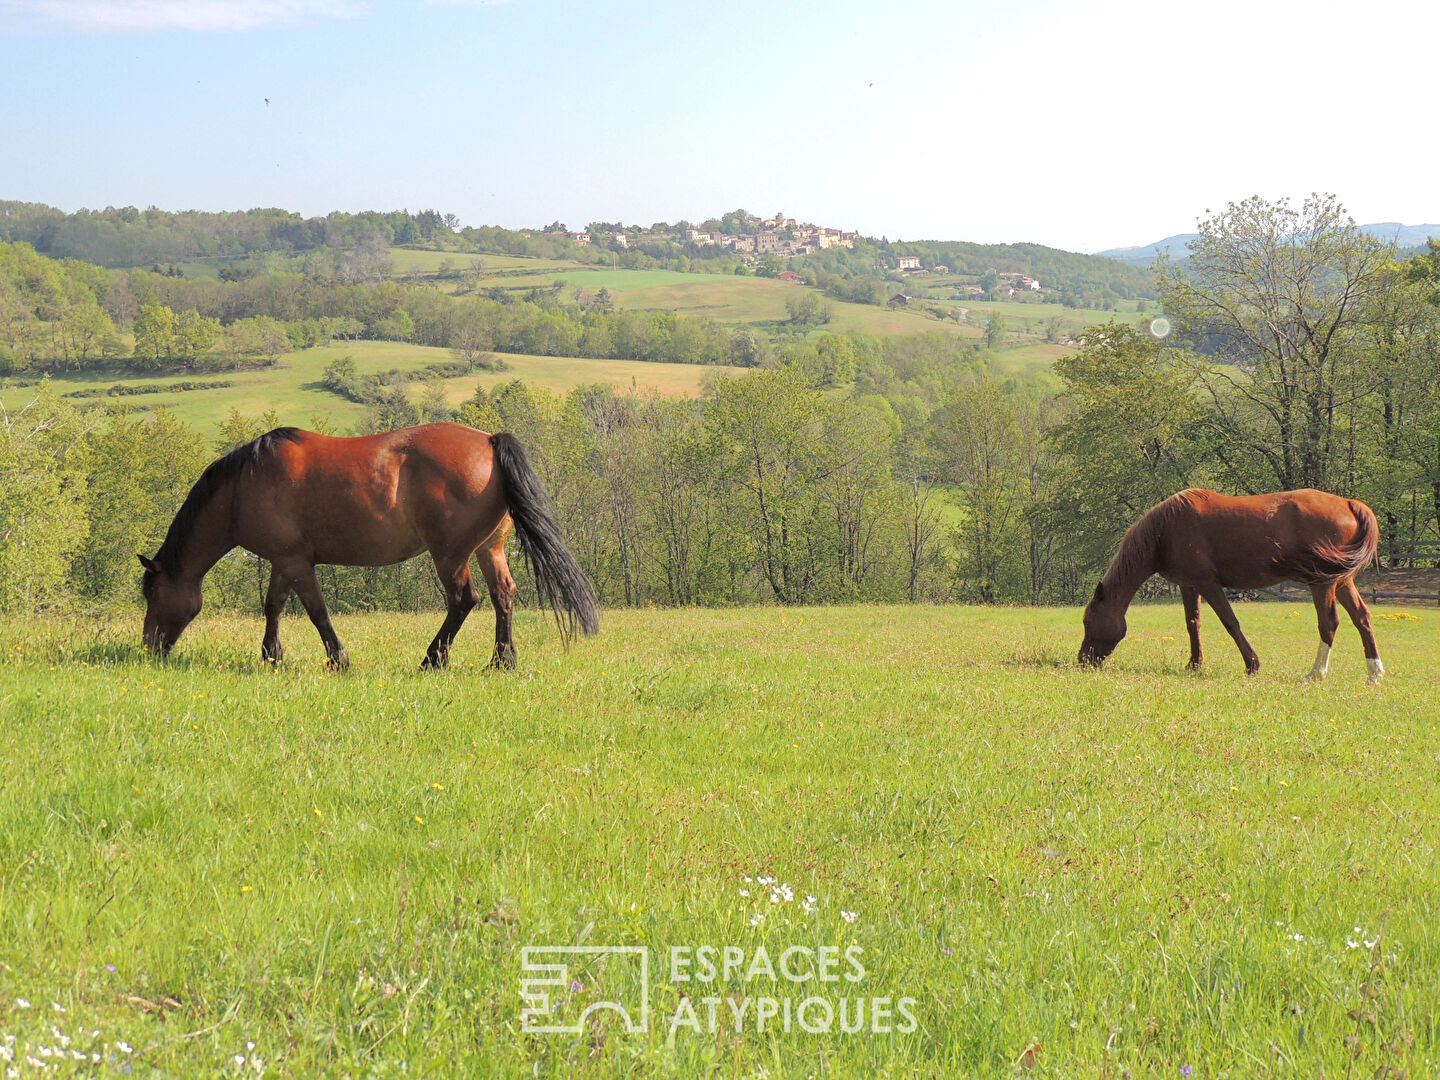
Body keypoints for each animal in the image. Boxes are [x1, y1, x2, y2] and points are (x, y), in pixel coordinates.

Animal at [137, 423, 599, 668]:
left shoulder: (296, 563)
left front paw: (337, 659)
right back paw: (502, 661)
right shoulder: (284, 561)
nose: (149, 647)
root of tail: (488, 440)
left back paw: (433, 659)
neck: (244, 484)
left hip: (450, 555)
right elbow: (274, 606)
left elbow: (316, 611)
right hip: (490, 549)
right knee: (504, 595)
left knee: (463, 600)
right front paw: (272, 656)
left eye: (152, 593)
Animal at [1082, 489, 1382, 685]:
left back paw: (1315, 674)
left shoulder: (1208, 584)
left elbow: (1230, 622)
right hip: (1343, 582)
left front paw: (1252, 665)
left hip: (1323, 583)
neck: (1165, 530)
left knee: (1329, 624)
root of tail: (1349, 503)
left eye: (1087, 621)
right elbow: (1193, 623)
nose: (1083, 660)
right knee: (1362, 619)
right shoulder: (1189, 585)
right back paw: (1374, 673)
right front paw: (1194, 664)